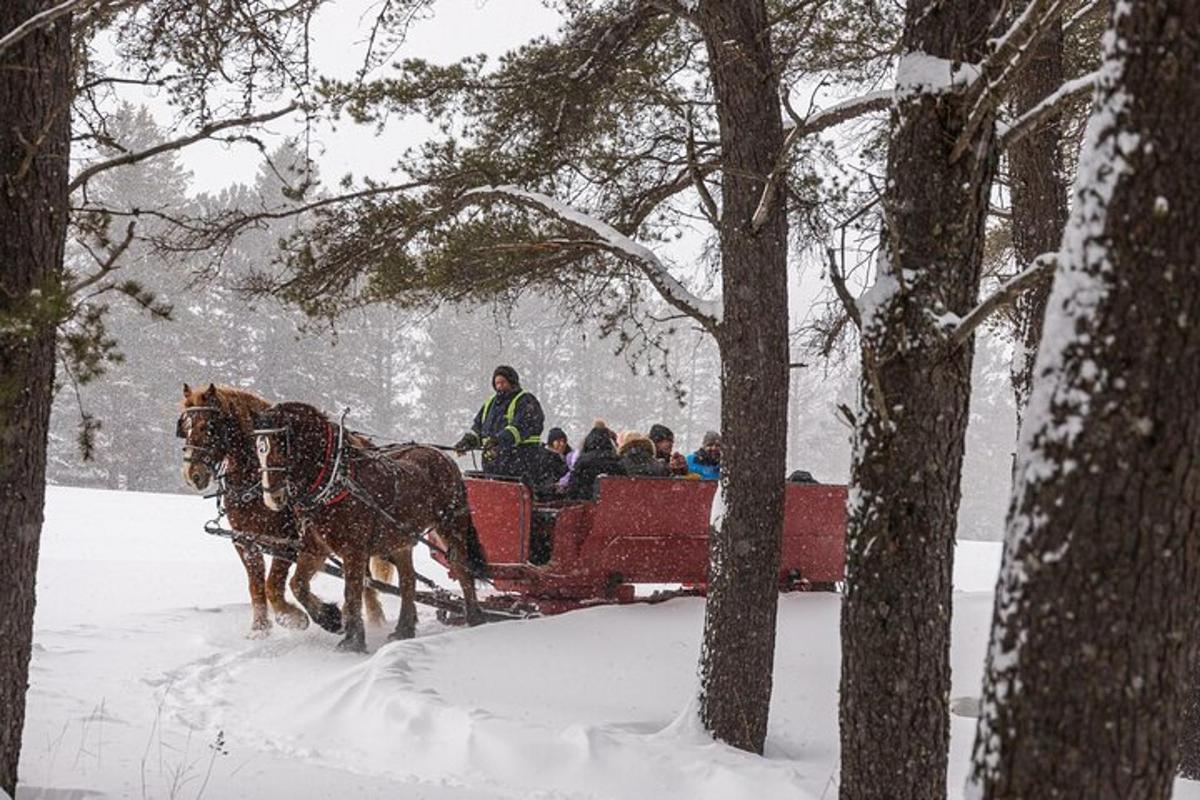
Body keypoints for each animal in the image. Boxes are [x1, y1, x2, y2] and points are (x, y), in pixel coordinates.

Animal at [175, 386, 388, 638]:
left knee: (364, 575)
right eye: (185, 427)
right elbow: (256, 585)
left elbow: (273, 584)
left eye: (208, 426)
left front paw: (294, 617)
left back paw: (374, 618)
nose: (192, 474)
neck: (254, 480)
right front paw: (259, 629)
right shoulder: (245, 540)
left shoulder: (286, 540)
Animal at [250, 400, 489, 652]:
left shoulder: (354, 549)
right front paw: (331, 619)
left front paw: (352, 641)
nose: (272, 497)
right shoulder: (316, 547)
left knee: (462, 567)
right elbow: (297, 584)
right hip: (401, 540)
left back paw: (475, 617)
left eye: (282, 444)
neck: (336, 479)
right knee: (408, 581)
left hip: (451, 525)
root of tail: (443, 457)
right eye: (258, 448)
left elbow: (352, 590)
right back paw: (404, 629)